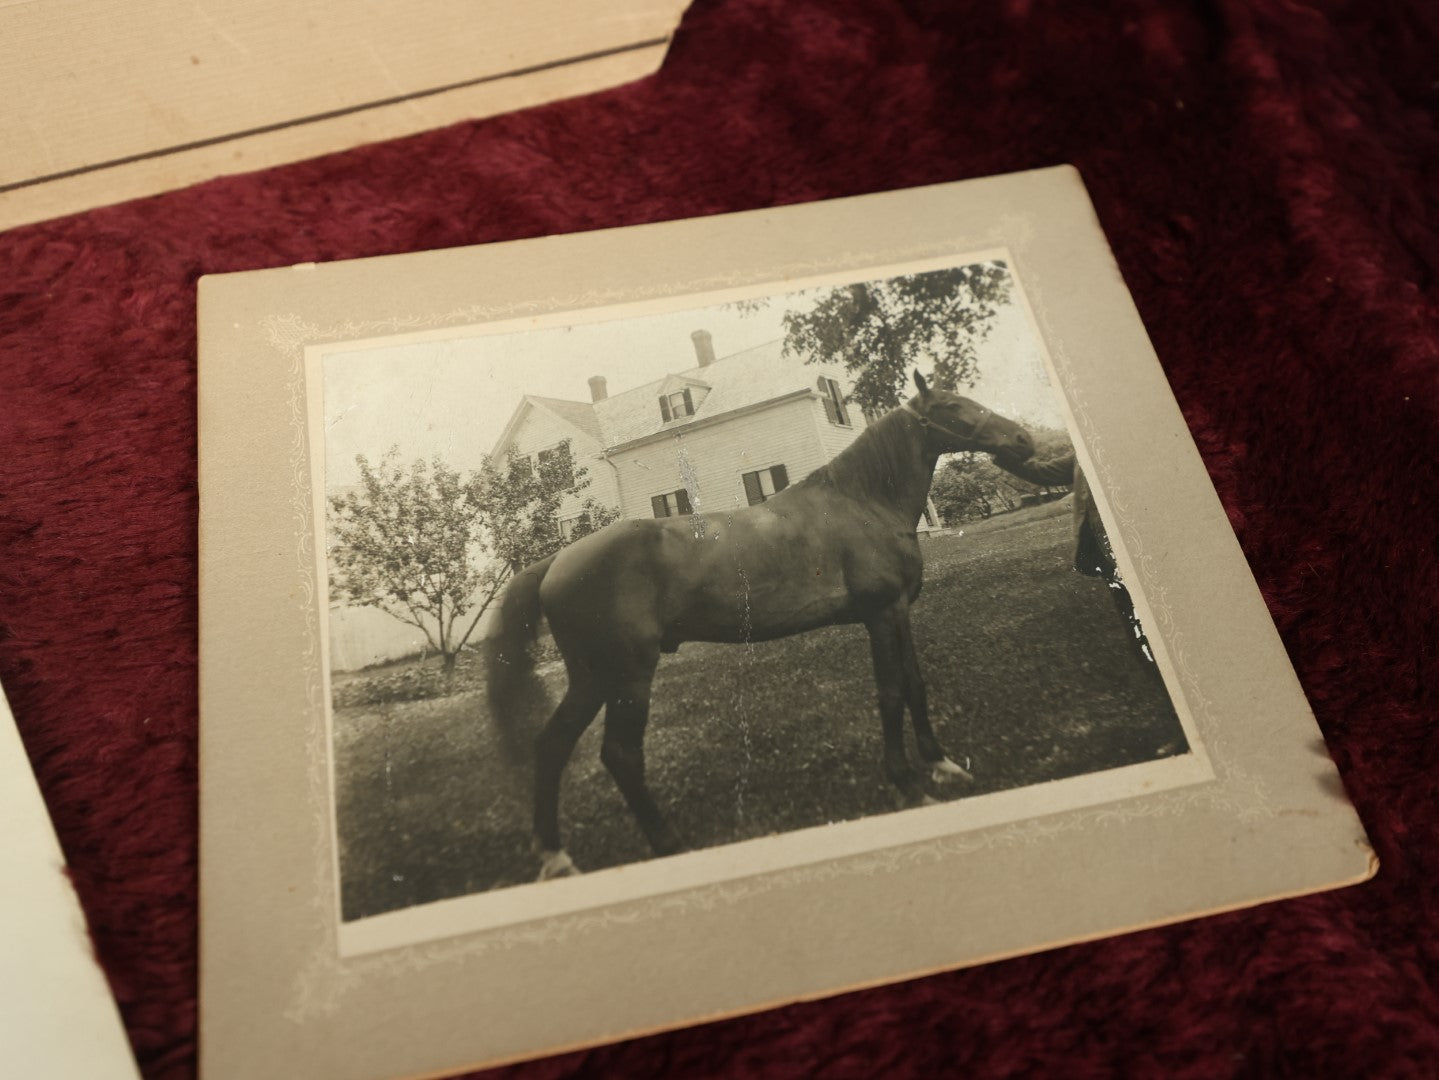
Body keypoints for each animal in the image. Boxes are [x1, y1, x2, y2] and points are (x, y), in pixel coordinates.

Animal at [483, 371, 1036, 880]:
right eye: (952, 407)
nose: (1022, 440)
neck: (862, 504)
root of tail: (555, 560)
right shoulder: (881, 613)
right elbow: (891, 692)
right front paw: (907, 784)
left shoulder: (900, 611)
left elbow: (916, 684)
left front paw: (942, 764)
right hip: (628, 675)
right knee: (620, 754)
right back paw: (669, 844)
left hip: (592, 677)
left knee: (552, 745)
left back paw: (557, 856)